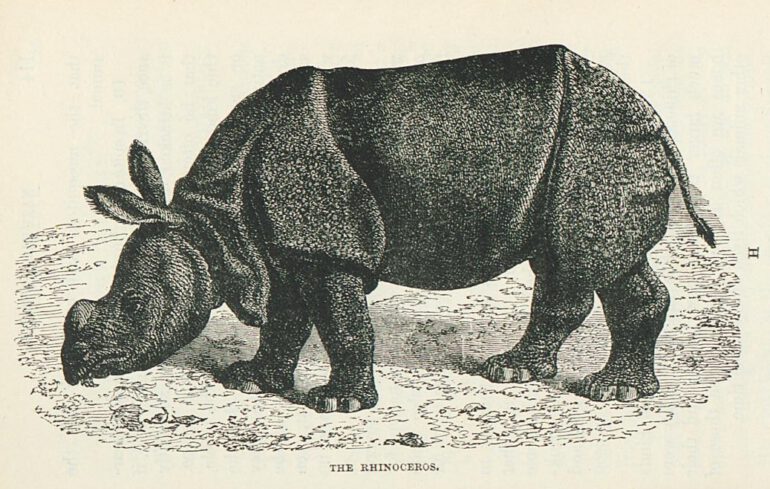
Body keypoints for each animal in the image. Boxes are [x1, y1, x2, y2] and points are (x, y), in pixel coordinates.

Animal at [61, 45, 715, 413]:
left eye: (136, 307)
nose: (74, 368)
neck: (212, 224)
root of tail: (653, 116)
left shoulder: (327, 245)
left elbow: (340, 323)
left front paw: (337, 405)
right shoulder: (285, 246)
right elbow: (286, 319)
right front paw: (249, 382)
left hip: (598, 143)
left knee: (584, 255)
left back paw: (603, 393)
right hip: (598, 144)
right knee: (580, 263)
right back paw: (546, 378)